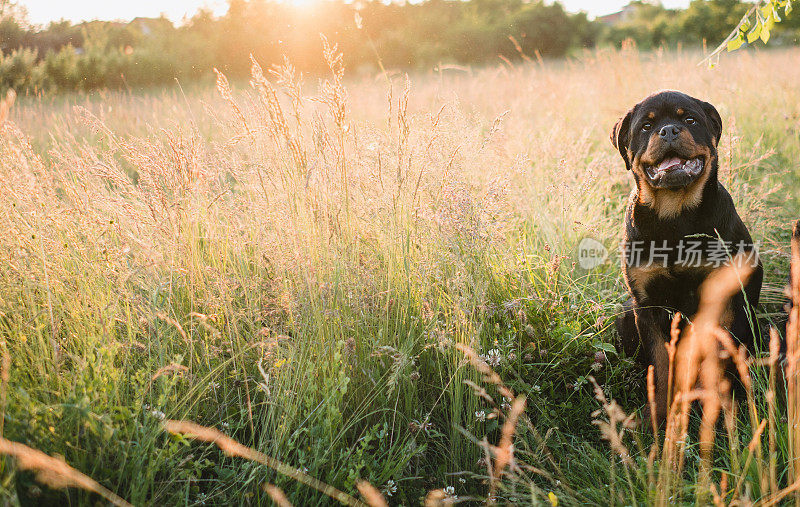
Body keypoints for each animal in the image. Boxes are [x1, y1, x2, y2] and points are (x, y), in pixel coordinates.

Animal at [612, 92, 764, 424]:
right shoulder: (648, 306)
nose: (669, 130)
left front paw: (715, 407)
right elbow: (660, 366)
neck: (675, 216)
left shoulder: (725, 300)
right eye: (646, 126)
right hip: (627, 313)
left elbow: (716, 359)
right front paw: (657, 416)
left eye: (690, 120)